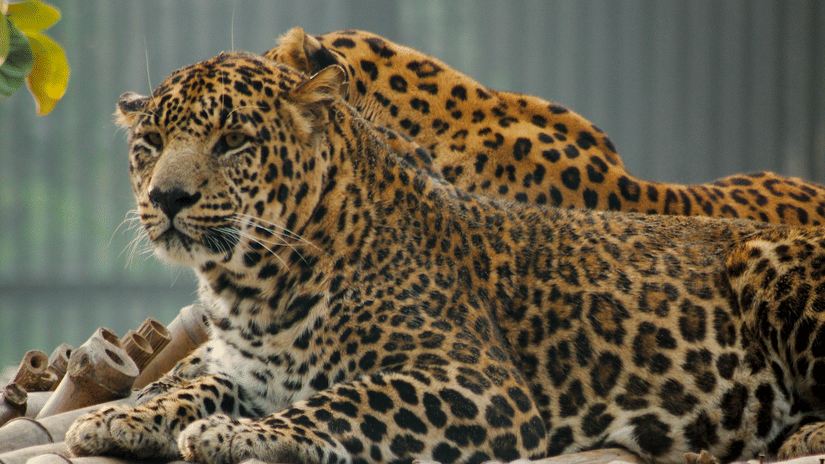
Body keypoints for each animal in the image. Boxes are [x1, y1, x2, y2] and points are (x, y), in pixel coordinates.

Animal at [65, 51, 825, 464]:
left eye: (232, 142)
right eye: (150, 144)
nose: (167, 197)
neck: (250, 285)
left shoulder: (477, 383)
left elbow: (343, 401)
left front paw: (233, 435)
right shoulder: (244, 367)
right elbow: (190, 384)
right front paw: (120, 418)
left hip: (772, 269)